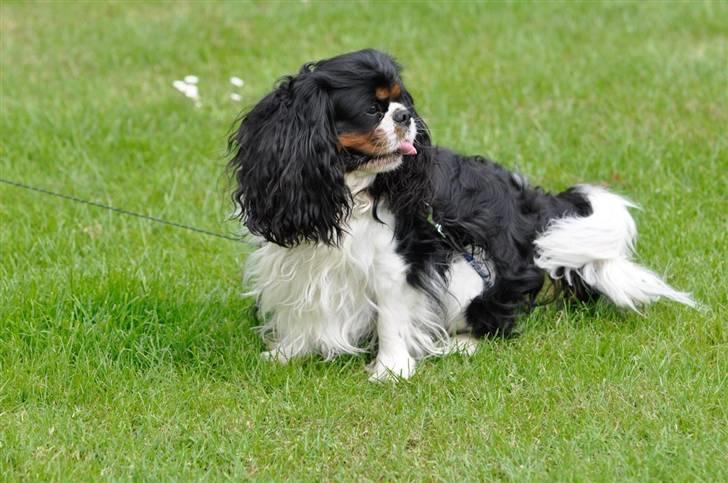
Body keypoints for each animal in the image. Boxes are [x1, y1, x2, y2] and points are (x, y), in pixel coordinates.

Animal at [228, 49, 692, 382]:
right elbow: (300, 306)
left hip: (470, 270)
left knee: (496, 321)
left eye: (401, 102)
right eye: (372, 110)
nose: (406, 116)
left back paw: (456, 344)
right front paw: (288, 352)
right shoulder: (299, 256)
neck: (351, 188)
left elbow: (392, 316)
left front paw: (391, 370)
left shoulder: (396, 263)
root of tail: (528, 206)